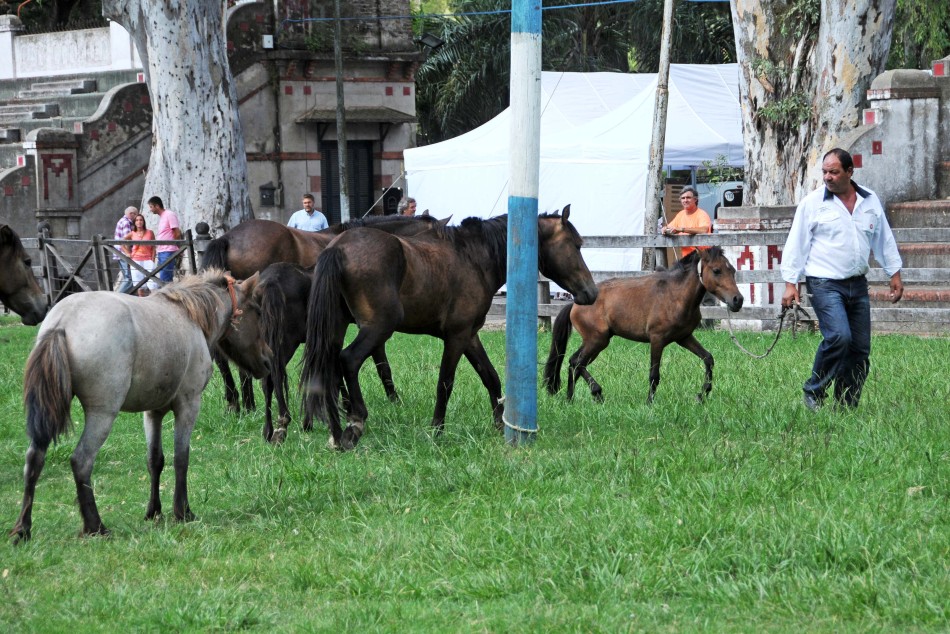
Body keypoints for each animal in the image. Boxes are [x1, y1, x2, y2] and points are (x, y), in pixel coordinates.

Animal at [9, 269, 272, 542]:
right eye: (257, 311)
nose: (268, 360)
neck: (188, 314)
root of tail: (62, 322)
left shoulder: (152, 412)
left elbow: (155, 460)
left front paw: (154, 512)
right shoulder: (188, 405)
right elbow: (181, 457)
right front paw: (182, 511)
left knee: (34, 459)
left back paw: (23, 528)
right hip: (102, 414)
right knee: (81, 461)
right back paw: (95, 526)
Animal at [301, 206, 599, 450]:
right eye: (577, 245)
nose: (591, 292)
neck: (474, 258)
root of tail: (338, 248)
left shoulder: (470, 335)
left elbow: (490, 376)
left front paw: (500, 424)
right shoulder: (456, 336)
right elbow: (445, 382)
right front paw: (437, 430)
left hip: (338, 328)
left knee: (328, 366)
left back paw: (336, 433)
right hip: (378, 327)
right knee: (348, 360)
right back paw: (354, 423)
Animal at [543, 246, 743, 404]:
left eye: (733, 270)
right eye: (716, 270)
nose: (738, 300)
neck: (675, 295)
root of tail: (574, 303)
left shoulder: (684, 338)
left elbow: (708, 358)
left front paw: (702, 394)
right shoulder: (657, 340)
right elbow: (654, 375)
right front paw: (649, 403)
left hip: (597, 342)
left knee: (575, 363)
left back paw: (572, 398)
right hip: (597, 340)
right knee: (576, 362)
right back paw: (593, 393)